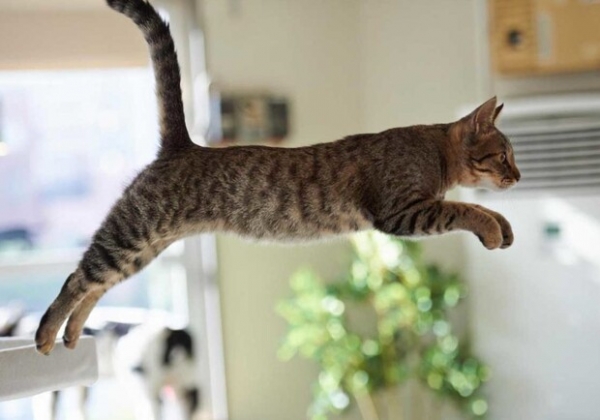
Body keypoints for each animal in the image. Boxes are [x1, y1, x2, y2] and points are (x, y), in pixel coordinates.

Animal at [35, 0, 520, 355]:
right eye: (503, 156)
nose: (517, 176)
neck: (435, 151)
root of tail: (181, 144)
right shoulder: (402, 212)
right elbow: (464, 208)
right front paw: (491, 226)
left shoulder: (419, 206)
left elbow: (473, 203)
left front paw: (503, 225)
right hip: (131, 232)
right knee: (77, 278)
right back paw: (46, 334)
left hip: (143, 249)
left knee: (96, 285)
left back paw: (73, 334)